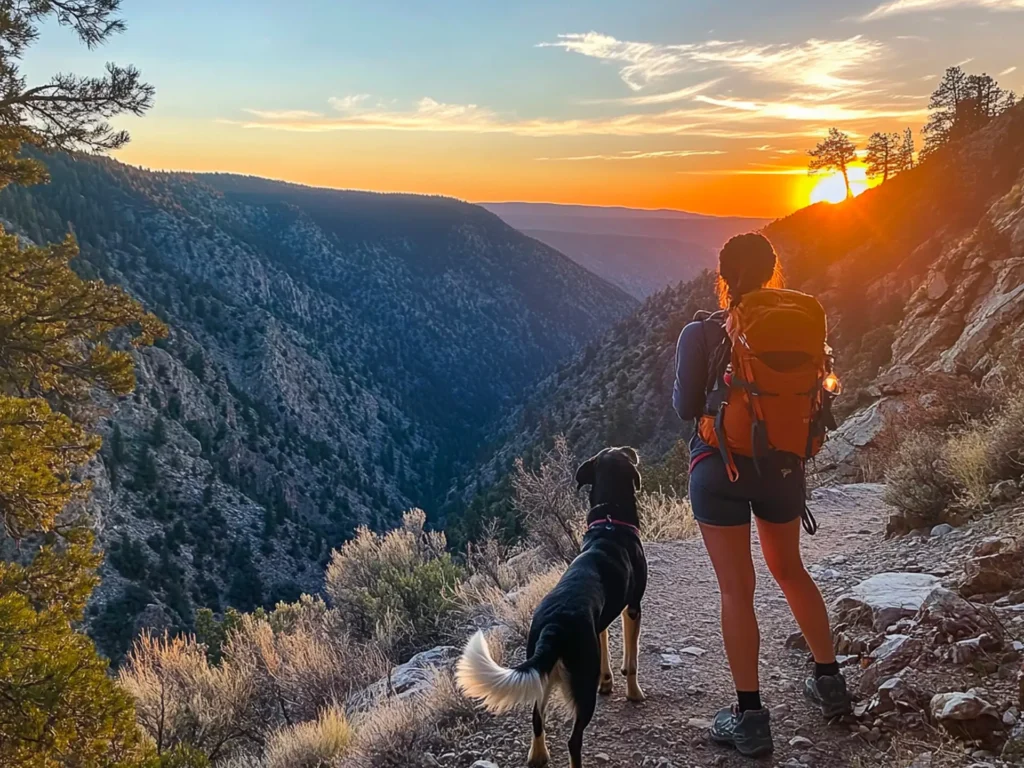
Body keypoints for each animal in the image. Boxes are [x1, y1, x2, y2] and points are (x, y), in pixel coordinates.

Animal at [458, 448, 647, 768]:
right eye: (622, 451)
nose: (634, 451)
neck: (610, 522)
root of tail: (555, 627)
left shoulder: (601, 622)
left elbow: (607, 651)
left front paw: (608, 682)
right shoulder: (633, 607)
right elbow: (631, 660)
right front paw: (634, 693)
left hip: (541, 674)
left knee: (536, 718)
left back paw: (538, 756)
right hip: (581, 686)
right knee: (573, 740)